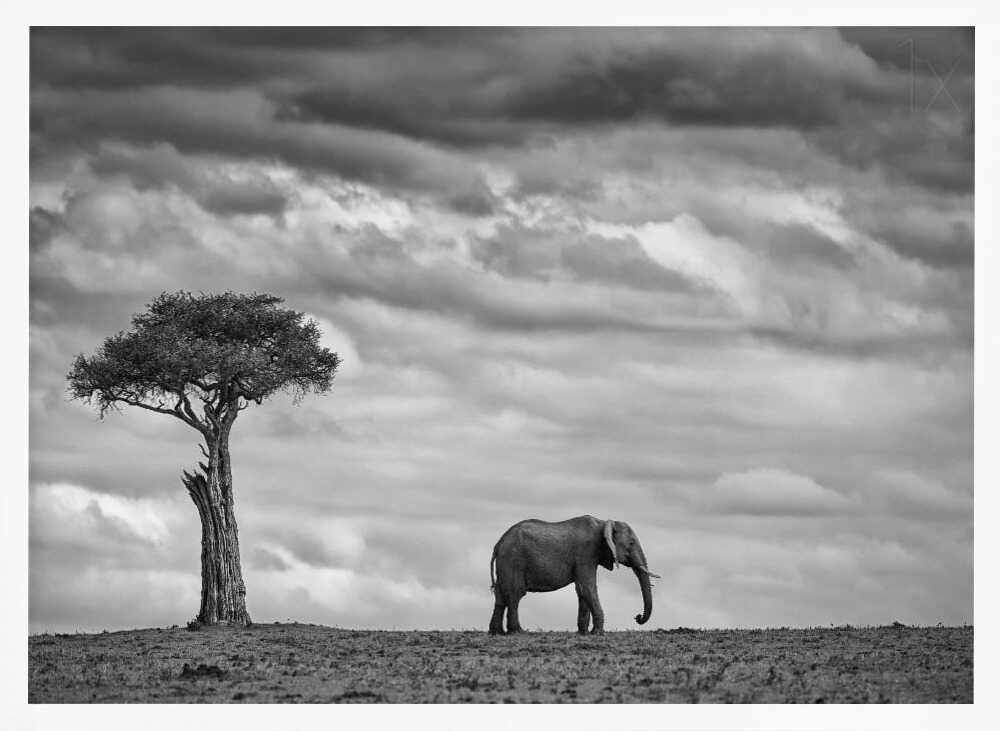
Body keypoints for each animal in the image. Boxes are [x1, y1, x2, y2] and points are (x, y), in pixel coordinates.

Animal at [488, 515, 660, 634]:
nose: (637, 617)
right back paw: (518, 632)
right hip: (513, 560)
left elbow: (582, 591)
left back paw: (496, 632)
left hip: (506, 563)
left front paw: (583, 632)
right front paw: (598, 633)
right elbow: (587, 587)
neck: (603, 522)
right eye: (631, 543)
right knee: (515, 594)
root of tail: (498, 544)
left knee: (500, 595)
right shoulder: (586, 553)